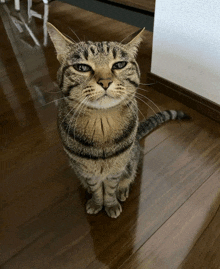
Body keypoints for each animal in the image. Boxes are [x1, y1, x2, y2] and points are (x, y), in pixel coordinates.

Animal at [46, 23, 189, 218]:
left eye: (119, 64)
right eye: (82, 67)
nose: (105, 82)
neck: (102, 123)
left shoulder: (117, 168)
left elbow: (111, 188)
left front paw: (111, 204)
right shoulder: (87, 170)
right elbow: (96, 189)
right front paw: (96, 202)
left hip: (131, 159)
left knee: (128, 176)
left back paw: (123, 190)